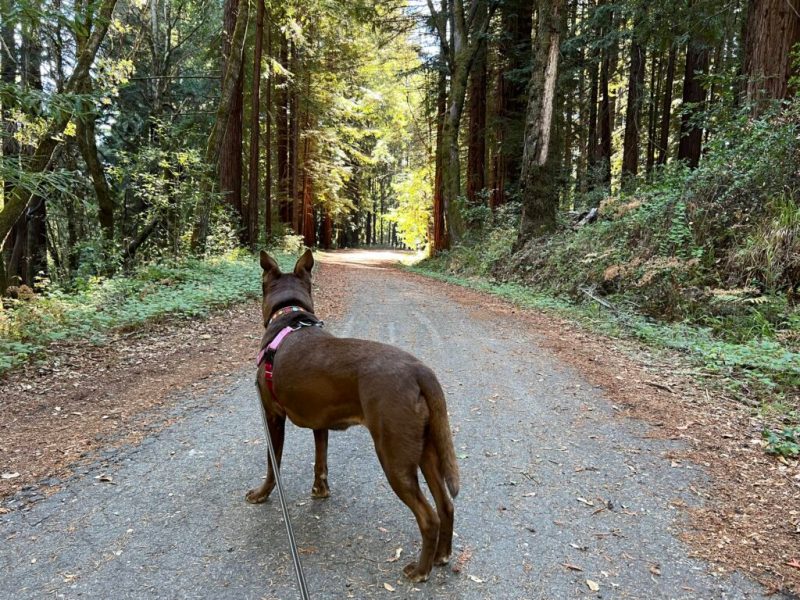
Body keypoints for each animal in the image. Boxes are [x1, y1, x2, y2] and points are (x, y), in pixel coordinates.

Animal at [244, 248, 460, 580]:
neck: (289, 316)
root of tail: (420, 371)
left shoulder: (272, 417)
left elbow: (272, 465)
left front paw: (262, 493)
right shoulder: (319, 421)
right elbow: (320, 461)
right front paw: (320, 491)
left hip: (394, 456)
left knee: (428, 517)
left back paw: (419, 570)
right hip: (426, 450)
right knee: (446, 506)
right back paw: (442, 556)